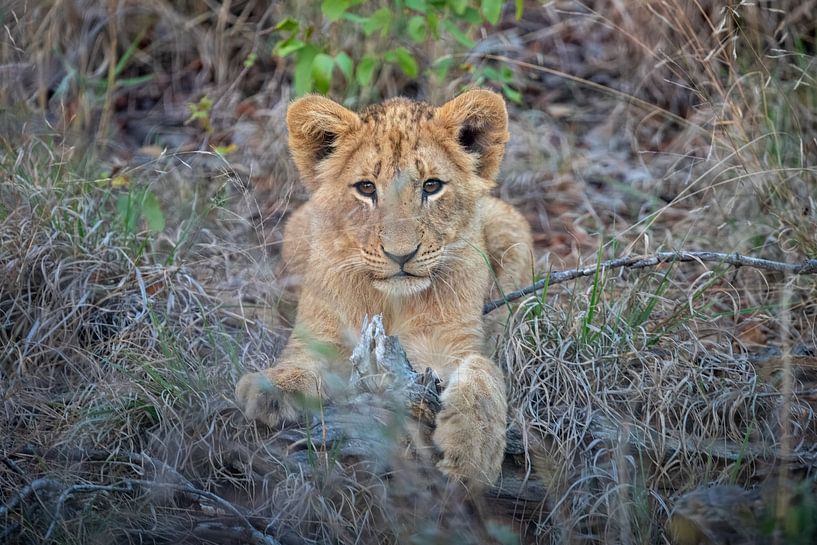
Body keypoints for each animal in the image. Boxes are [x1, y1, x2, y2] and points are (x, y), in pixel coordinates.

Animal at [235, 89, 534, 485]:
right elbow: (301, 361)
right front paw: (271, 389)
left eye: (431, 186)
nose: (401, 255)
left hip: (508, 225)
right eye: (366, 188)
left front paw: (473, 451)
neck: (393, 303)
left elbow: (482, 374)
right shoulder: (324, 334)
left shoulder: (449, 346)